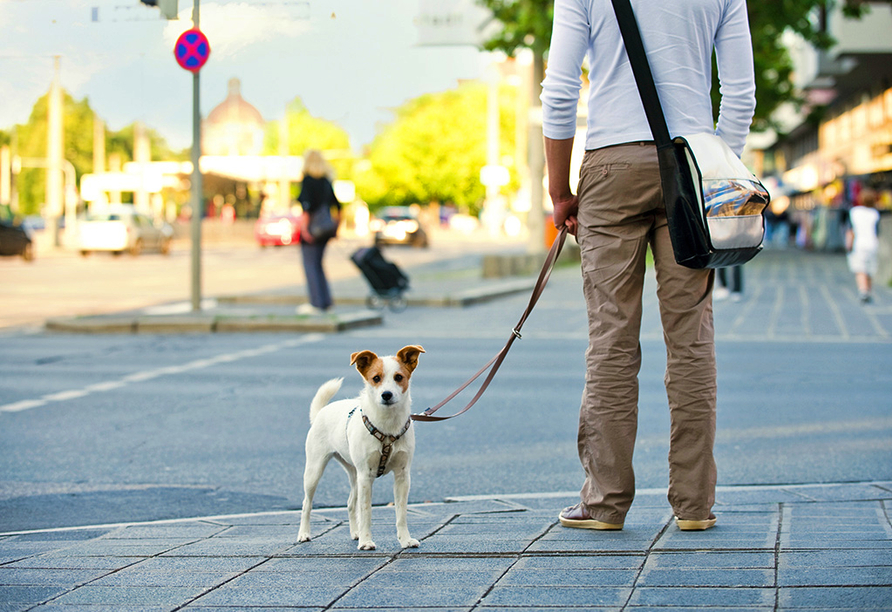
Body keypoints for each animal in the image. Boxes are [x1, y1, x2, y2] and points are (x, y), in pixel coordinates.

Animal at [298, 344, 426, 548]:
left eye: (398, 377)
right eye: (376, 378)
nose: (386, 394)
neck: (387, 427)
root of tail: (321, 412)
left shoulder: (402, 476)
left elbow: (401, 512)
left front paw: (405, 540)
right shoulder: (366, 476)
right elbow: (366, 512)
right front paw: (366, 542)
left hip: (354, 473)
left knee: (351, 503)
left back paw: (355, 532)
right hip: (314, 470)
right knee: (306, 503)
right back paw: (304, 534)